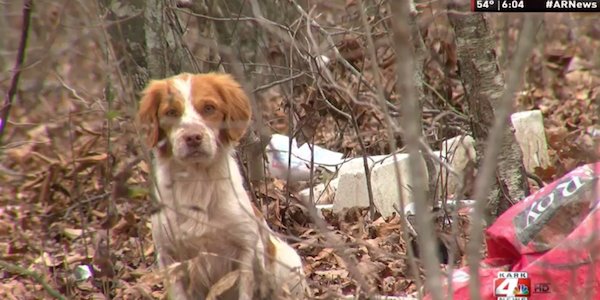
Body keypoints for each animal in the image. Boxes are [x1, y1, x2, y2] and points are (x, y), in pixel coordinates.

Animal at [139, 73, 310, 300]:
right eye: (171, 112)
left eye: (209, 108)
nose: (193, 137)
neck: (197, 183)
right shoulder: (169, 256)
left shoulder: (246, 248)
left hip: (288, 265)